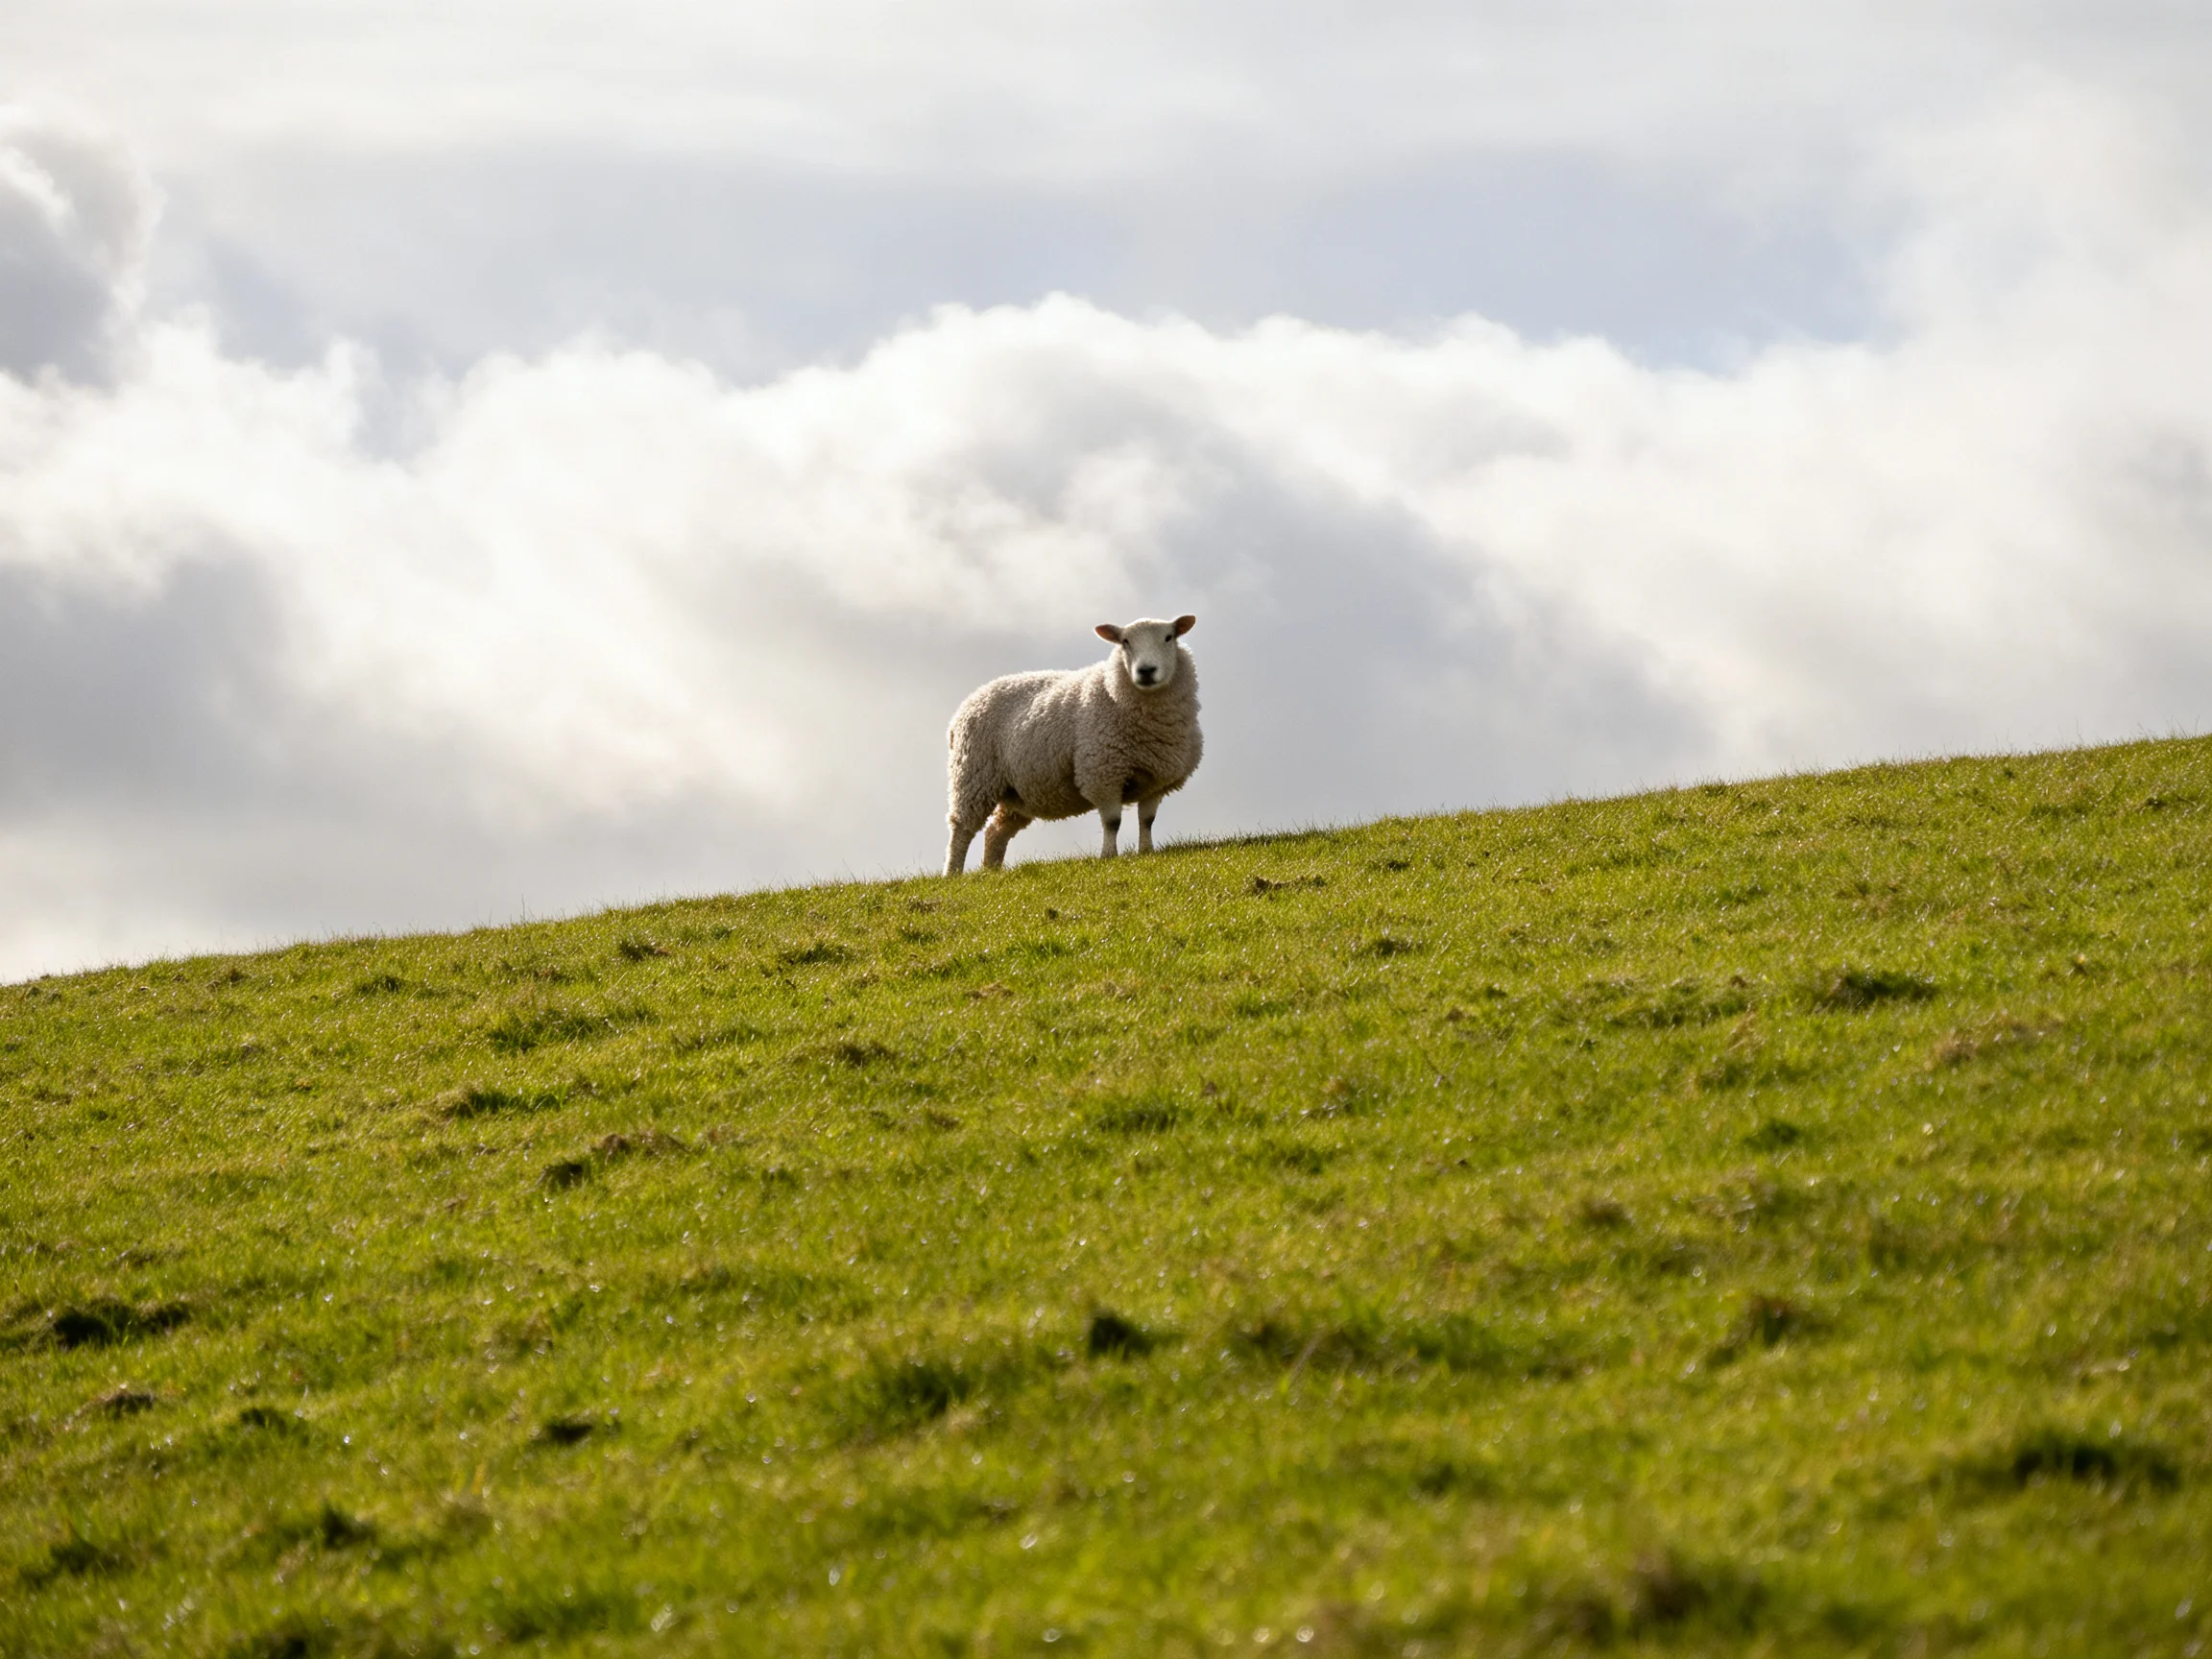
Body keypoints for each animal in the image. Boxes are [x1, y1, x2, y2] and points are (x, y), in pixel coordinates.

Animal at [945, 616, 1203, 875]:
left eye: (1169, 637)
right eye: (1125, 641)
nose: (1146, 671)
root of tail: (970, 701)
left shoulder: (1156, 779)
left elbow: (1147, 821)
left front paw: (1147, 852)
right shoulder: (1102, 774)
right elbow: (1112, 822)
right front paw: (1108, 856)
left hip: (1016, 793)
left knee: (995, 832)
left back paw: (991, 871)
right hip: (973, 778)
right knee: (961, 830)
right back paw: (954, 873)